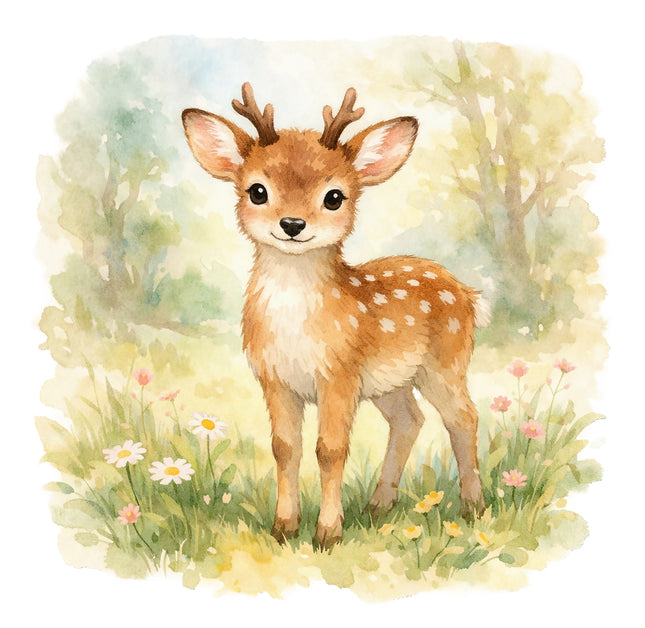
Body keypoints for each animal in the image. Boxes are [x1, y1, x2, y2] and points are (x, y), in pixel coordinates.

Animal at [182, 83, 489, 548]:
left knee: (463, 418)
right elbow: (285, 447)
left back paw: (473, 507)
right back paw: (378, 505)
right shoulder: (274, 378)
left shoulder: (340, 372)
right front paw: (284, 528)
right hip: (391, 383)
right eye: (257, 191)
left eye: (334, 197)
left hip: (446, 361)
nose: (292, 224)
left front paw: (327, 534)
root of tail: (469, 295)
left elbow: (330, 449)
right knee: (409, 421)